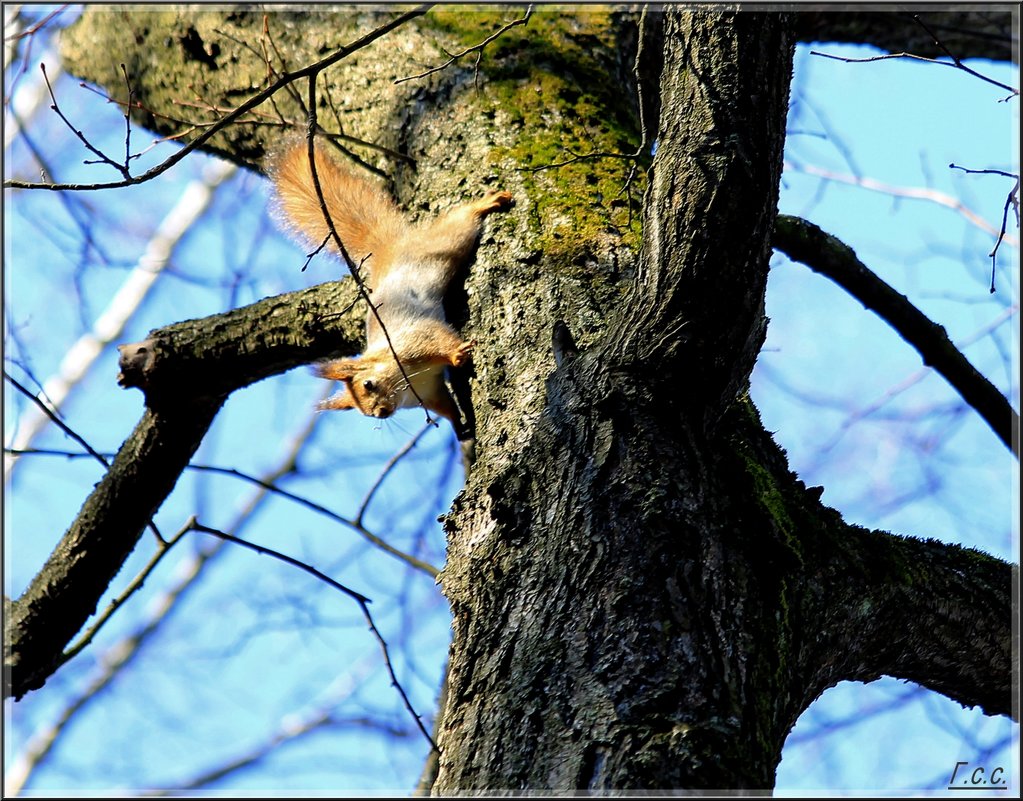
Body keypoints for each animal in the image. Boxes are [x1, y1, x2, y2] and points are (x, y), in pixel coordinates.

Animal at [268, 142, 515, 431]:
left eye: (368, 384)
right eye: (364, 413)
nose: (381, 413)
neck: (405, 378)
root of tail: (386, 247)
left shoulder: (416, 339)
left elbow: (440, 338)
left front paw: (456, 354)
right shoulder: (431, 393)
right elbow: (447, 408)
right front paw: (461, 429)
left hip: (446, 244)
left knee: (461, 221)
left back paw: (484, 204)